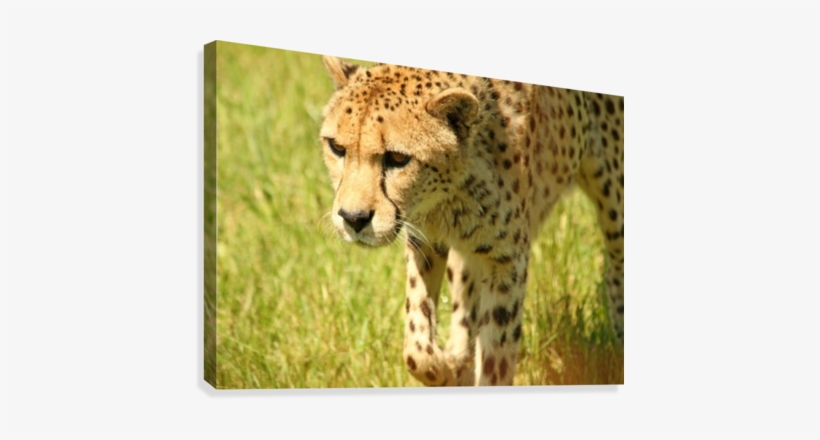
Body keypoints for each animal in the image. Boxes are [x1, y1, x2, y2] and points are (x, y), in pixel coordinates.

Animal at [319, 56, 624, 386]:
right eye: (337, 148)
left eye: (398, 158)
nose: (353, 219)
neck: (451, 192)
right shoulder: (425, 238)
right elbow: (416, 348)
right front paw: (448, 368)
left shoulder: (507, 261)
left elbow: (496, 356)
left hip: (614, 195)